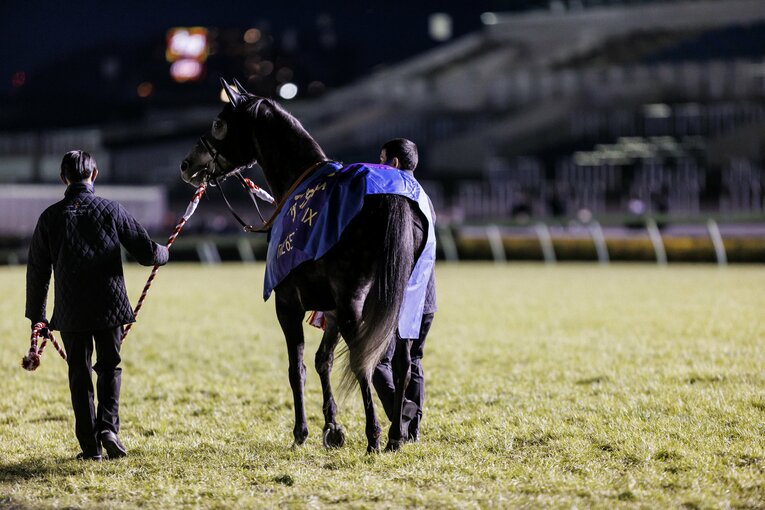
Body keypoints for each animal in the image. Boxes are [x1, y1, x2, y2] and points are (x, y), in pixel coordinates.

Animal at [179, 78, 430, 452]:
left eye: (218, 123)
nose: (186, 164)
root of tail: (392, 197)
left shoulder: (288, 304)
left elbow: (296, 368)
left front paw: (301, 432)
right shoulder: (332, 310)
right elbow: (322, 360)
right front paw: (333, 428)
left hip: (356, 301)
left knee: (364, 360)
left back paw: (374, 435)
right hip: (405, 300)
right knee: (402, 362)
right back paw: (396, 436)